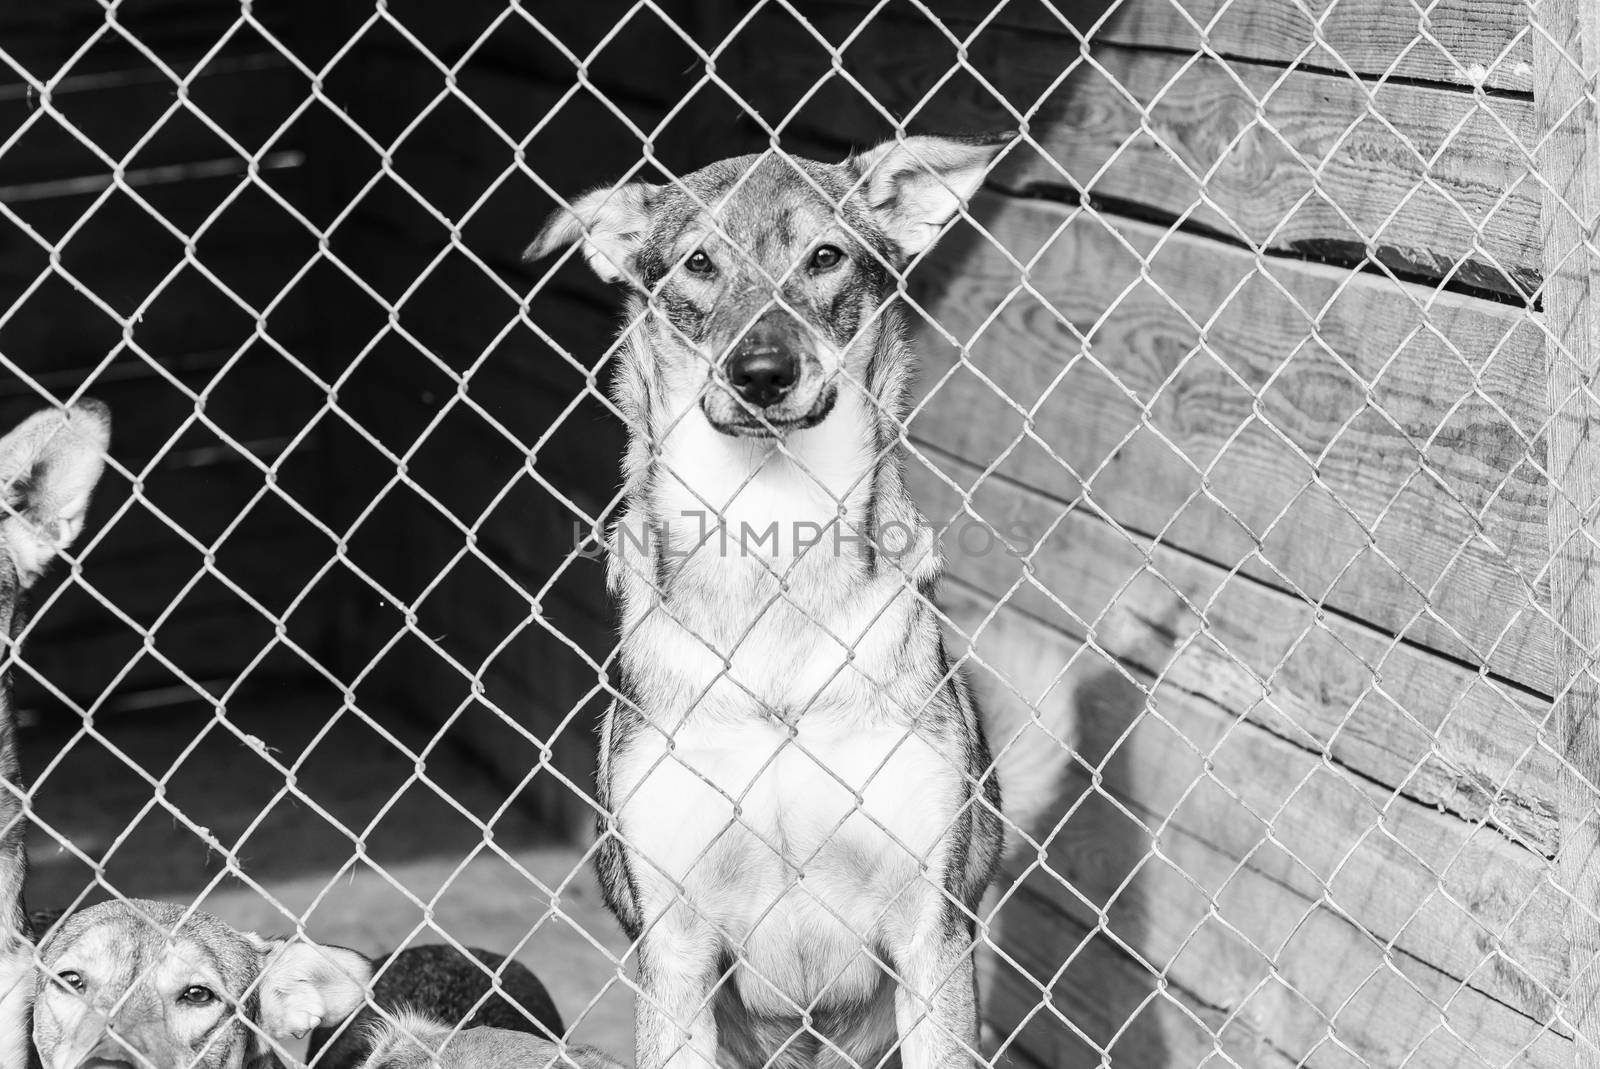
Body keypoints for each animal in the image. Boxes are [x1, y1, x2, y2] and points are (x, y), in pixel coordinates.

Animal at [528, 136, 1062, 1069]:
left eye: (824, 257)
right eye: (700, 262)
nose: (764, 374)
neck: (771, 553)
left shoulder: (929, 935)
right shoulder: (675, 952)